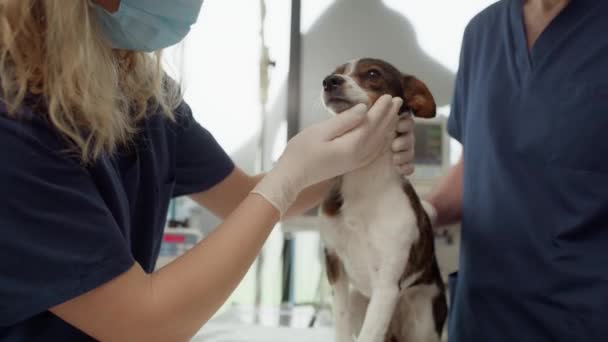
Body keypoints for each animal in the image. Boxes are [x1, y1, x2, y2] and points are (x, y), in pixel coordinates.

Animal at [318, 58, 446, 342]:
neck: (364, 181)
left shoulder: (387, 285)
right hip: (358, 300)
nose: (329, 81)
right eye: (336, 72)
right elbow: (341, 321)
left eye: (373, 74)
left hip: (422, 318)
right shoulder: (334, 264)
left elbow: (369, 334)